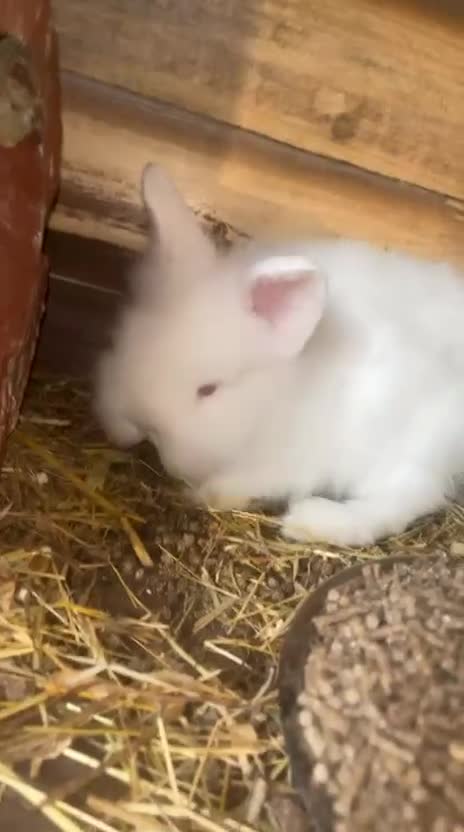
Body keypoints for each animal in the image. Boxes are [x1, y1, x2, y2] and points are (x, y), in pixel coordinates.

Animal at [95, 163, 464, 548]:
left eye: (209, 389)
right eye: (126, 342)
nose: (142, 425)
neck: (273, 400)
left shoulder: (288, 460)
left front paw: (208, 494)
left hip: (412, 445)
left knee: (400, 502)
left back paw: (311, 521)